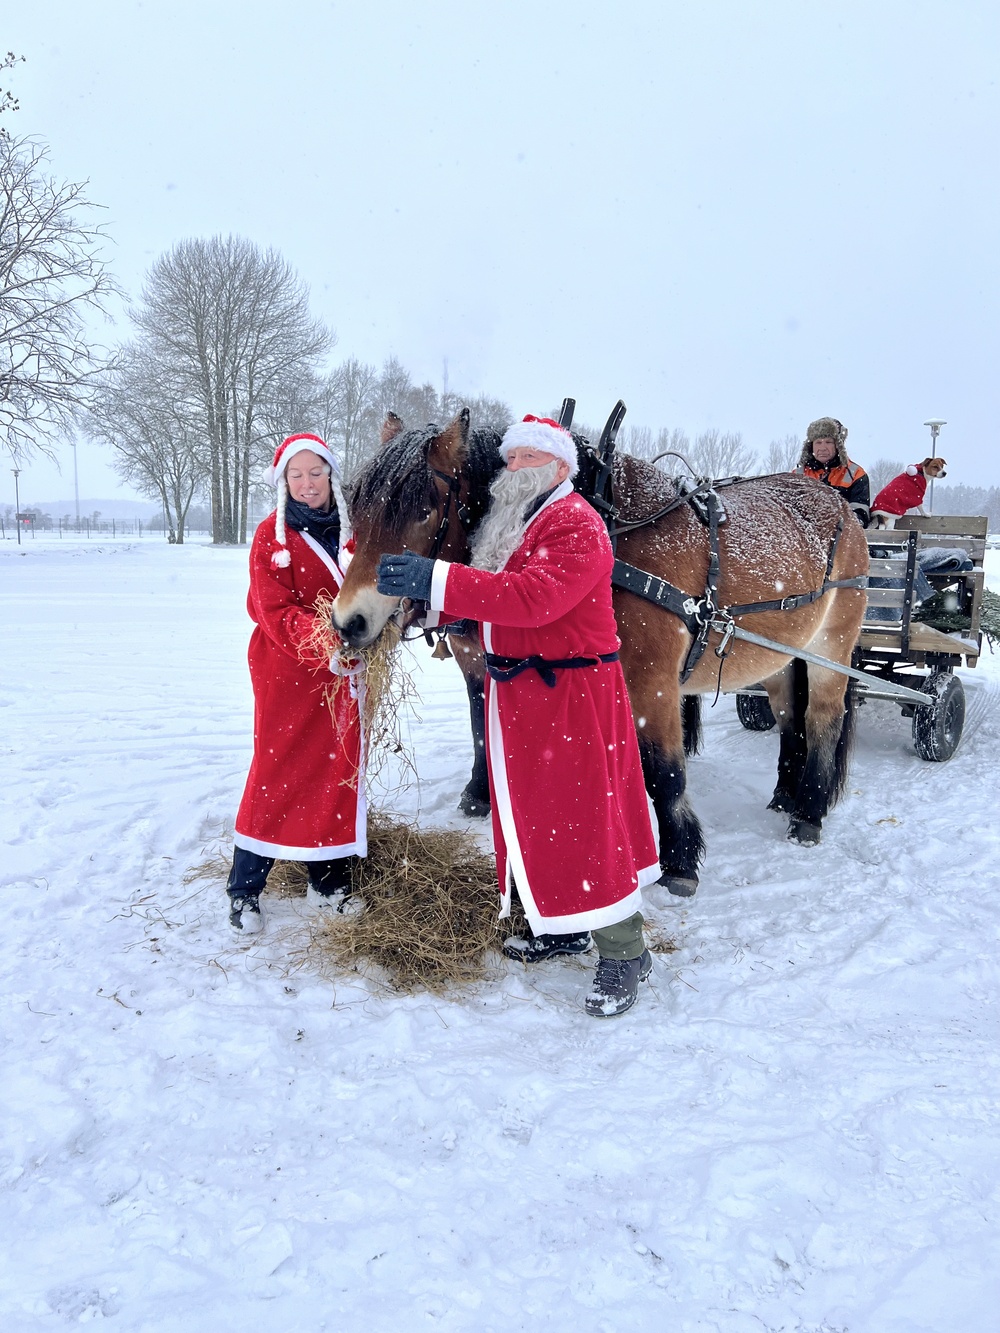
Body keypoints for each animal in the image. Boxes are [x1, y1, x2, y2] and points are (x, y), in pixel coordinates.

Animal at [334, 410, 869, 895]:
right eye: (356, 505)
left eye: (423, 509)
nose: (348, 621)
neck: (606, 528)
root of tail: (841, 507)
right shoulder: (479, 668)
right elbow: (482, 734)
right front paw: (481, 796)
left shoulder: (654, 683)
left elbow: (664, 772)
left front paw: (678, 861)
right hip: (779, 656)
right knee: (790, 719)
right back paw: (785, 795)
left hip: (831, 648)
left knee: (823, 719)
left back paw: (809, 813)